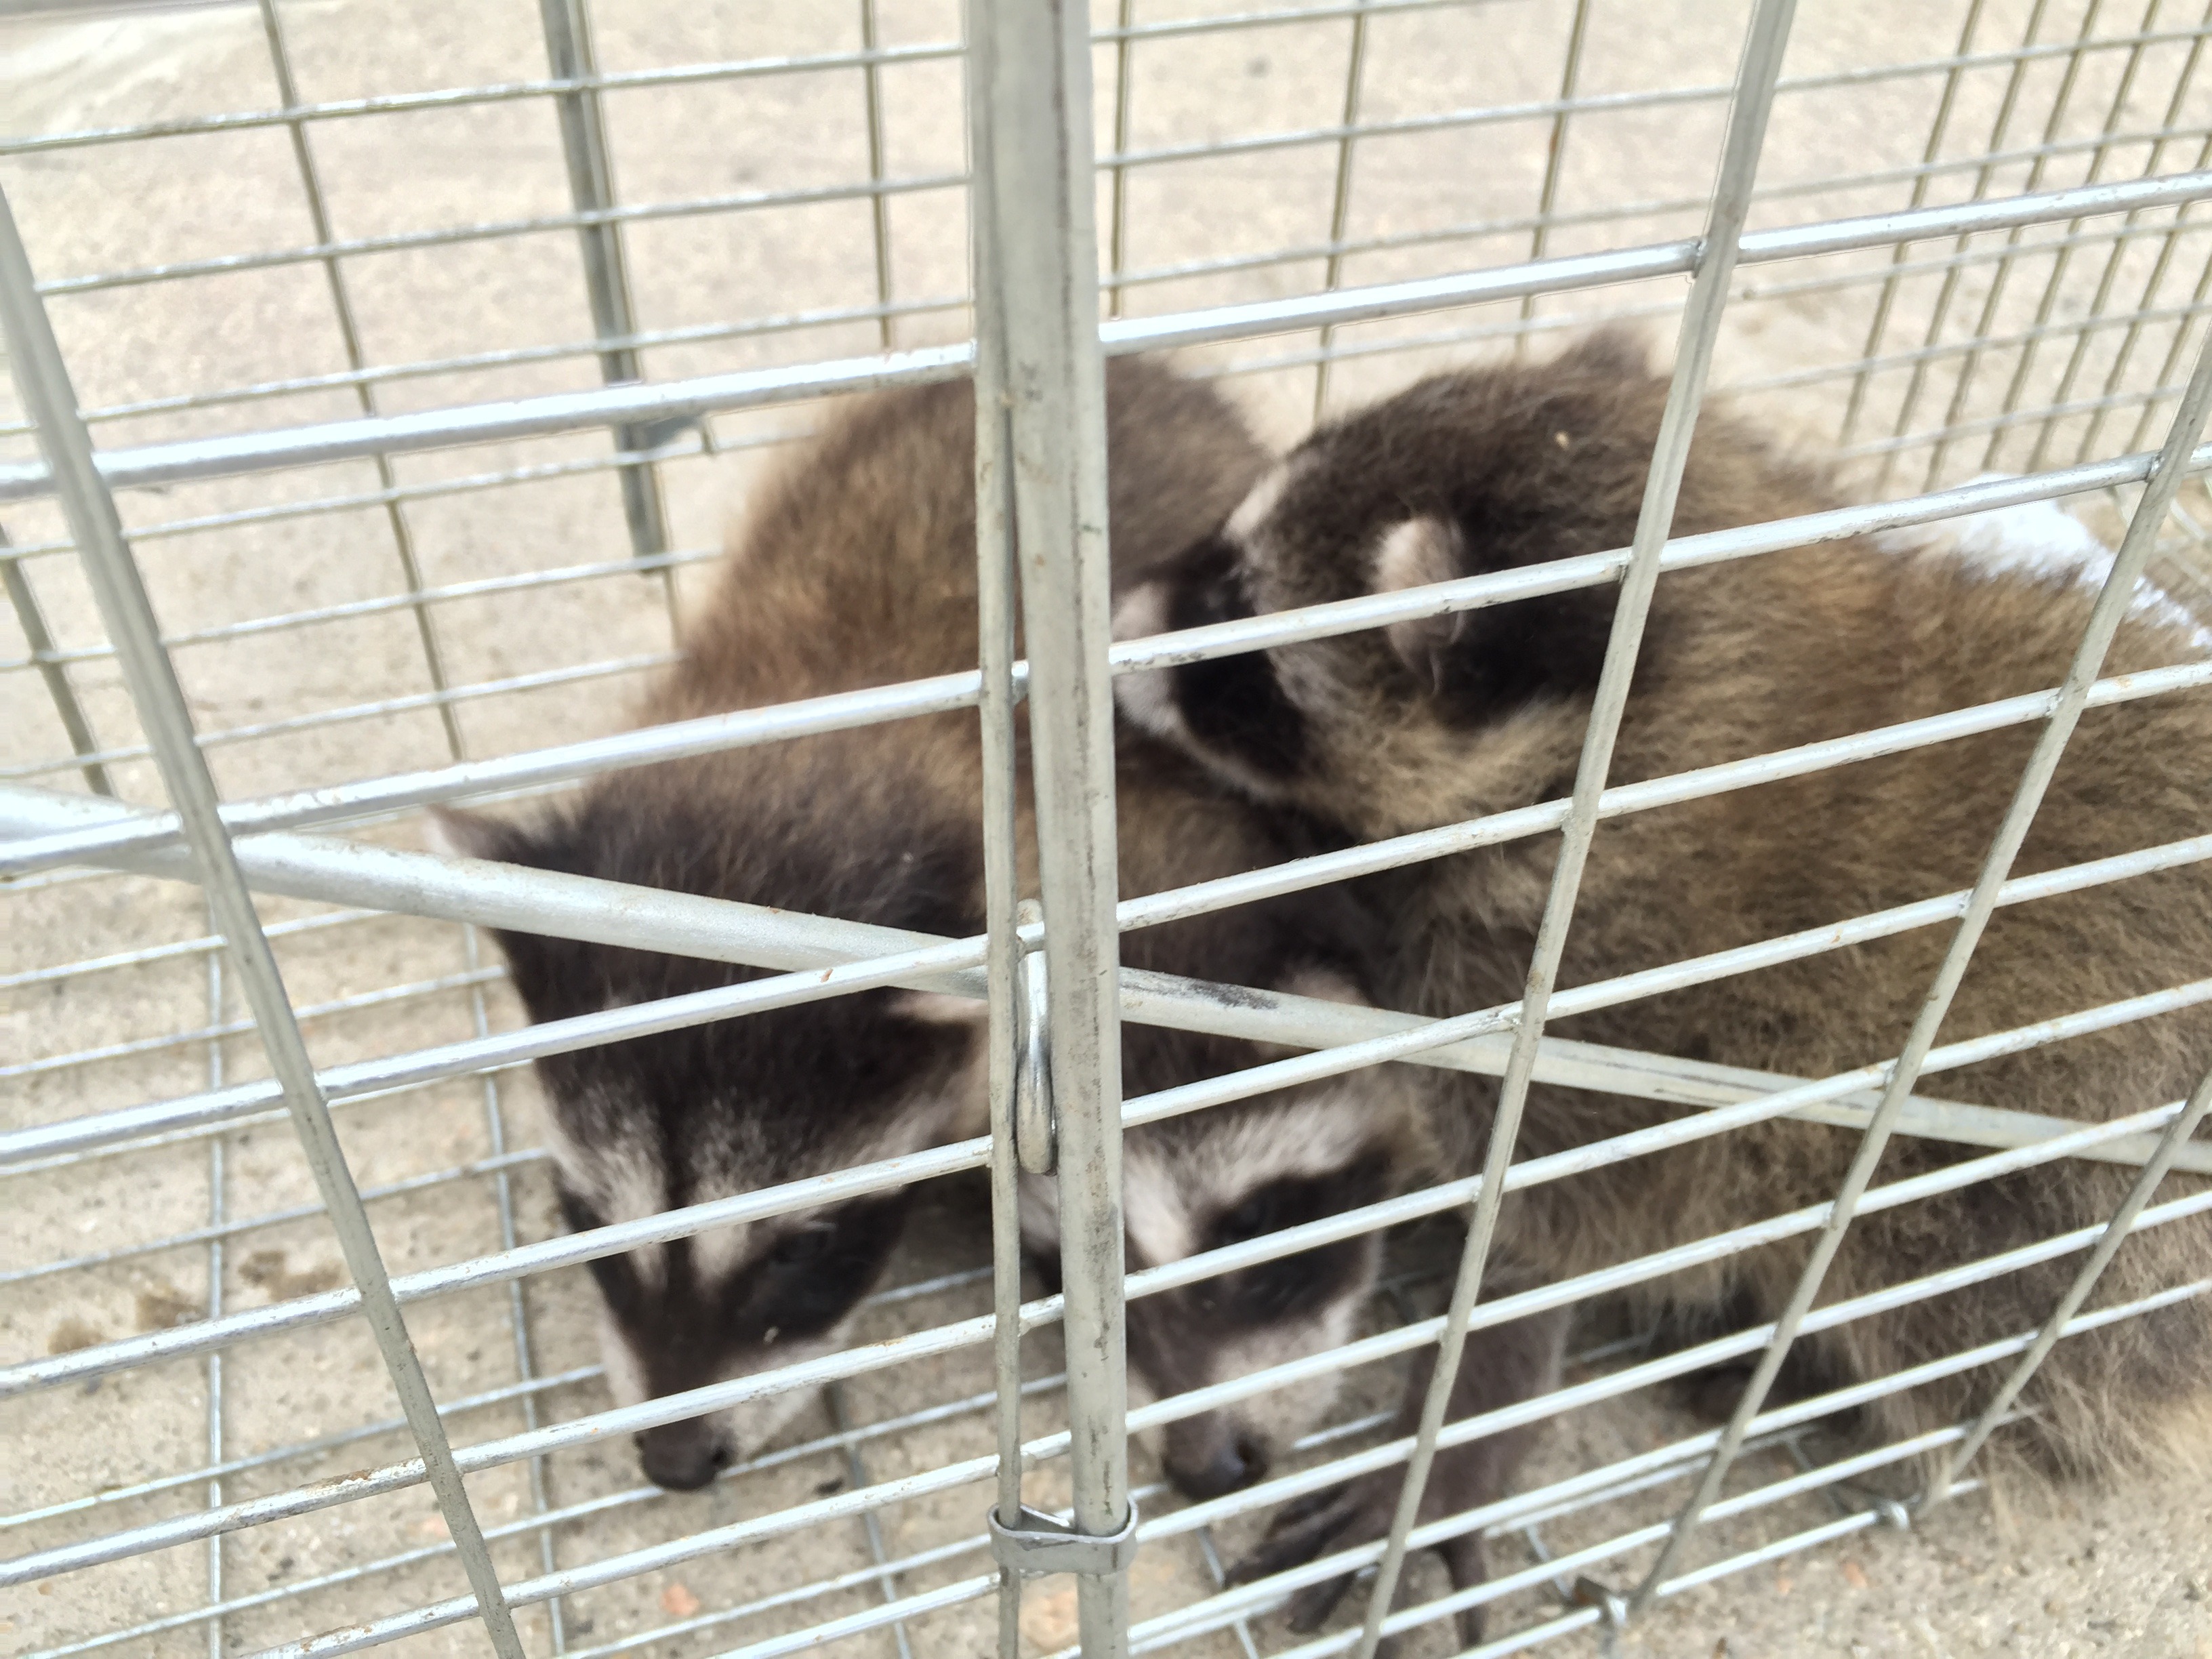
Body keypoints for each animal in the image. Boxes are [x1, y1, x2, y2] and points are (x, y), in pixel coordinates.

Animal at [1115, 331, 2212, 1628]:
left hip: (2042, 1193)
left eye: (1232, 622)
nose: (1117, 616)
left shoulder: (1616, 984)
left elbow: (1546, 1233)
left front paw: (1452, 1445)